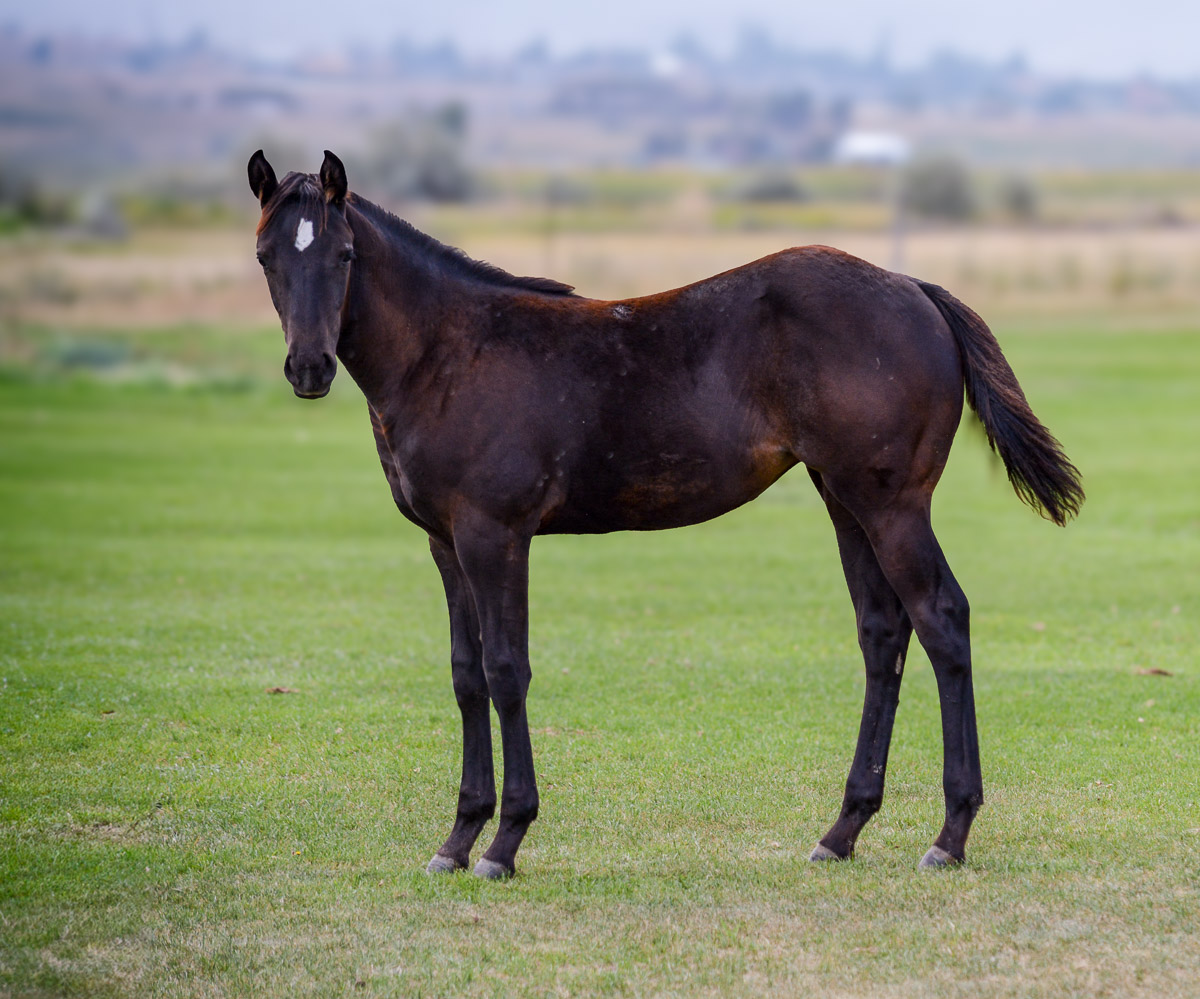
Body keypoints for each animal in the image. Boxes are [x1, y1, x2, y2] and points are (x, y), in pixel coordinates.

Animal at [246, 146, 1089, 874]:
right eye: (266, 257)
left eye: (344, 255)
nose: (309, 368)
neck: (449, 353)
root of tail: (916, 290)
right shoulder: (445, 543)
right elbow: (465, 674)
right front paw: (456, 839)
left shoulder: (497, 534)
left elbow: (507, 668)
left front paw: (504, 840)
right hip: (844, 499)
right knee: (883, 633)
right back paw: (842, 829)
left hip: (893, 505)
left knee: (943, 619)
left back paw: (950, 833)